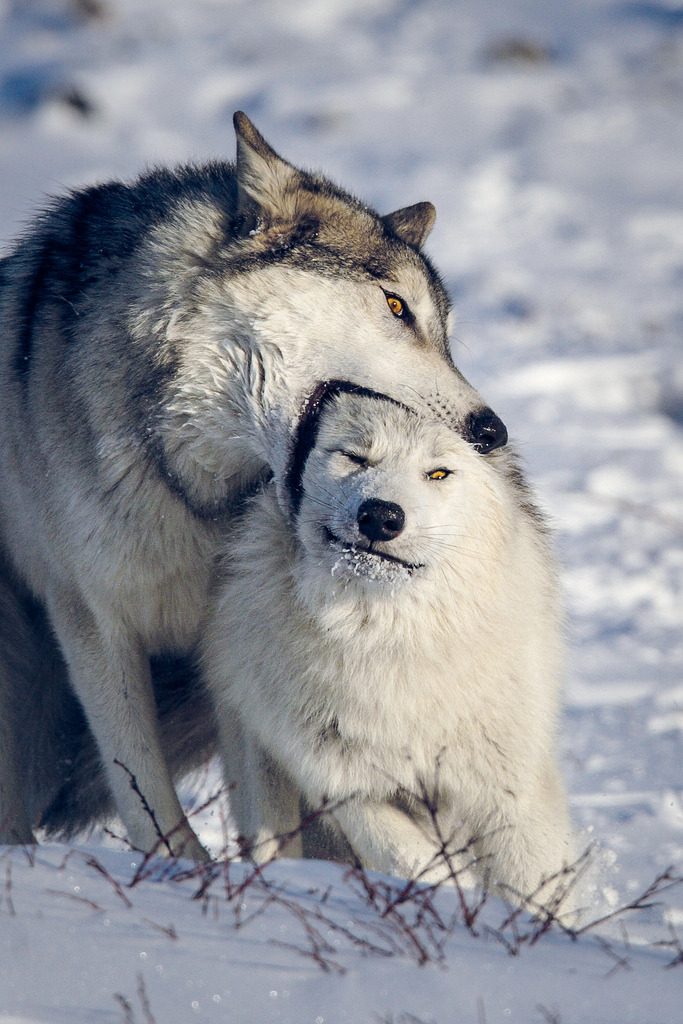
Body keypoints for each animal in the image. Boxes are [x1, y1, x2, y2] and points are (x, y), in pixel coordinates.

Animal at [202, 387, 577, 909]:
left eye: (438, 473)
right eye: (356, 457)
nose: (380, 515)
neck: (390, 641)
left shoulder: (508, 791)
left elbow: (534, 887)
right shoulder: (341, 780)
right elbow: (411, 859)